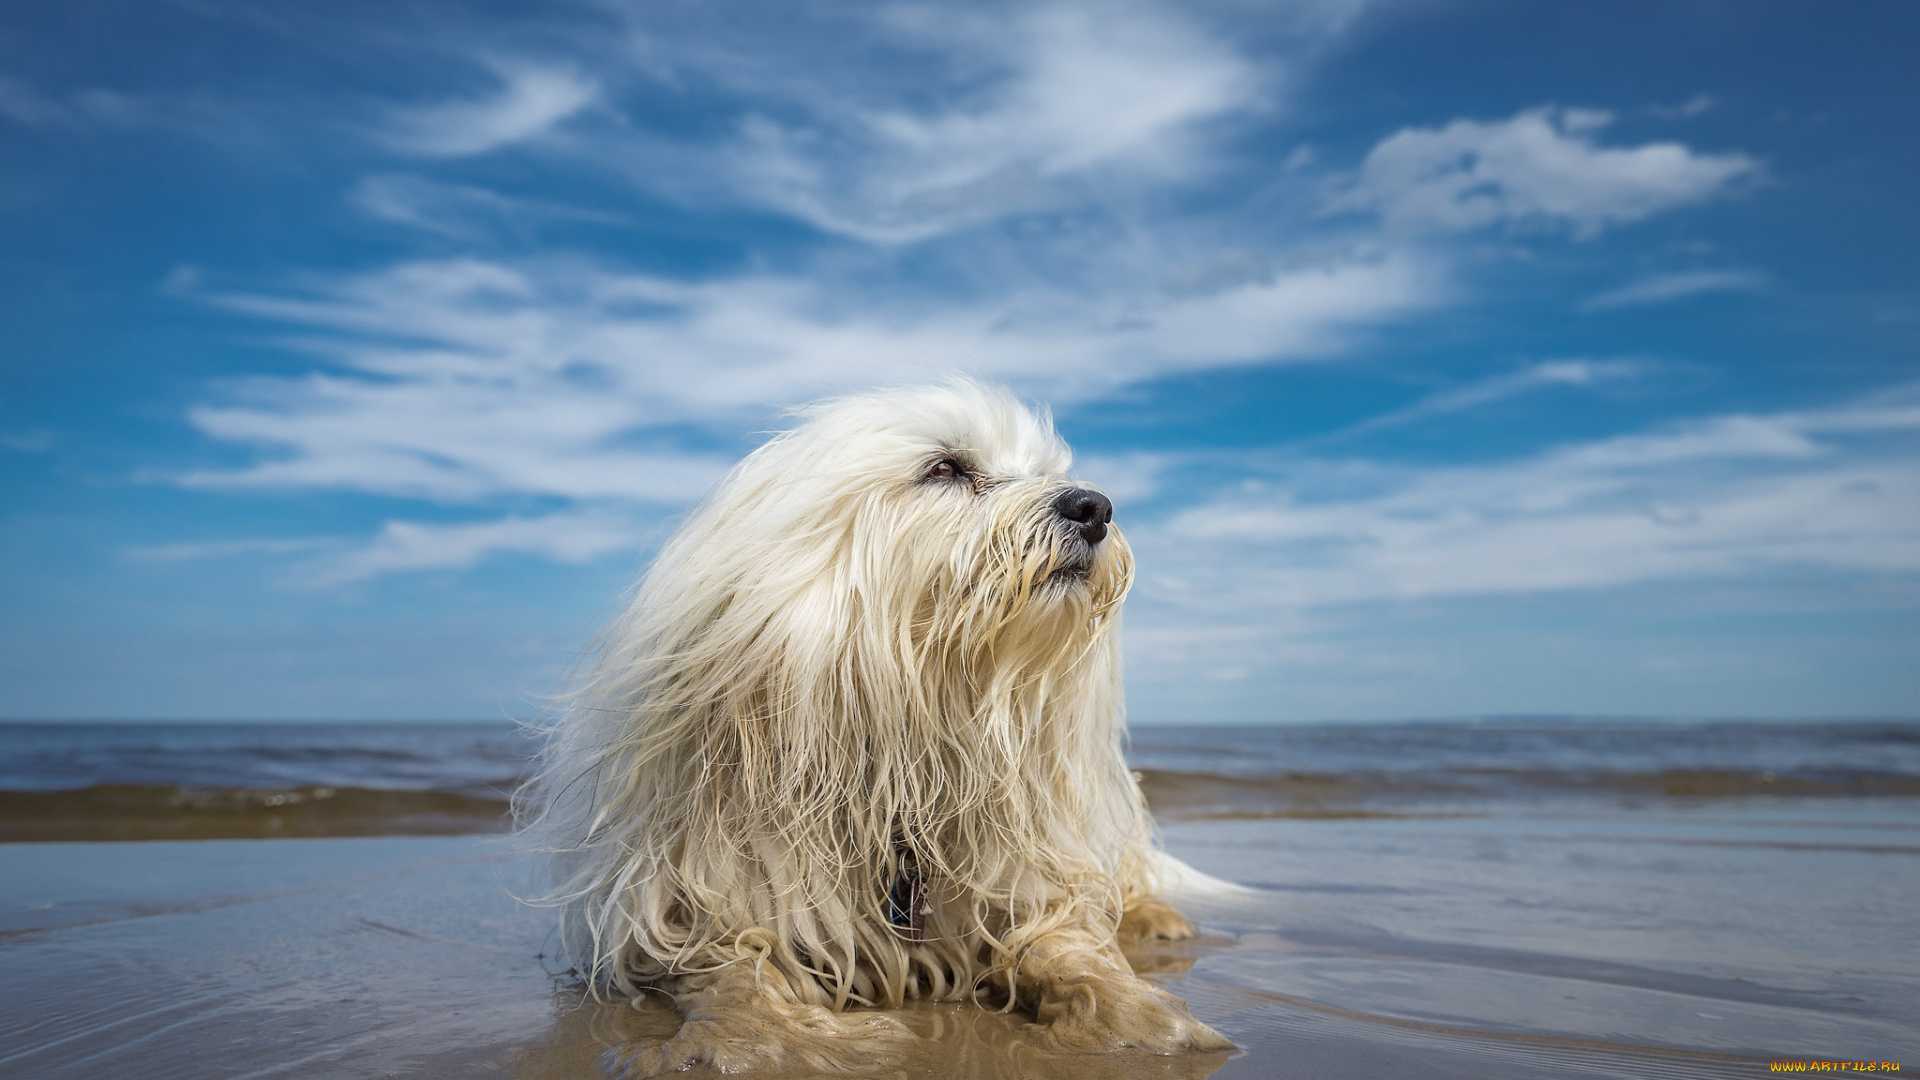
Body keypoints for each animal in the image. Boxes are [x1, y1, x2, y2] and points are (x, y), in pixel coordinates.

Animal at [514, 378, 1228, 1068]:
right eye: (945, 467)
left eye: (1048, 472)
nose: (1095, 507)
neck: (903, 758)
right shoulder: (697, 900)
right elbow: (734, 969)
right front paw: (767, 1039)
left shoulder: (1026, 877)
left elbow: (1065, 943)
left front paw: (1139, 1014)